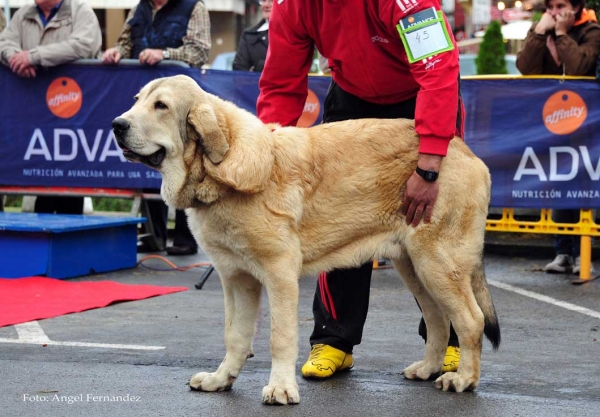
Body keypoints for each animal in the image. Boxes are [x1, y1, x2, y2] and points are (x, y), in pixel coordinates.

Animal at [112, 74, 502, 404]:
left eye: (161, 106)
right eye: (137, 100)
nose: (117, 125)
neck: (216, 172)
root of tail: (462, 149)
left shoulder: (279, 274)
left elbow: (280, 337)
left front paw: (281, 389)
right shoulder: (236, 278)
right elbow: (235, 335)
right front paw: (221, 379)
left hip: (438, 263)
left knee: (470, 320)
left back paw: (463, 379)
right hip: (414, 266)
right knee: (438, 319)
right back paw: (427, 369)